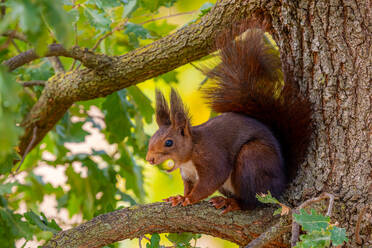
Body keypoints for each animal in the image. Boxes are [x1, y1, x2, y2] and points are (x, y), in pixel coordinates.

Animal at [145, 25, 310, 213]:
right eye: (152, 139)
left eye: (169, 142)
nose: (149, 159)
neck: (189, 155)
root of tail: (281, 181)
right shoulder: (188, 175)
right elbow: (189, 187)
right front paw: (180, 197)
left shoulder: (212, 157)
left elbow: (211, 181)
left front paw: (190, 199)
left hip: (253, 160)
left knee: (253, 202)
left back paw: (234, 203)